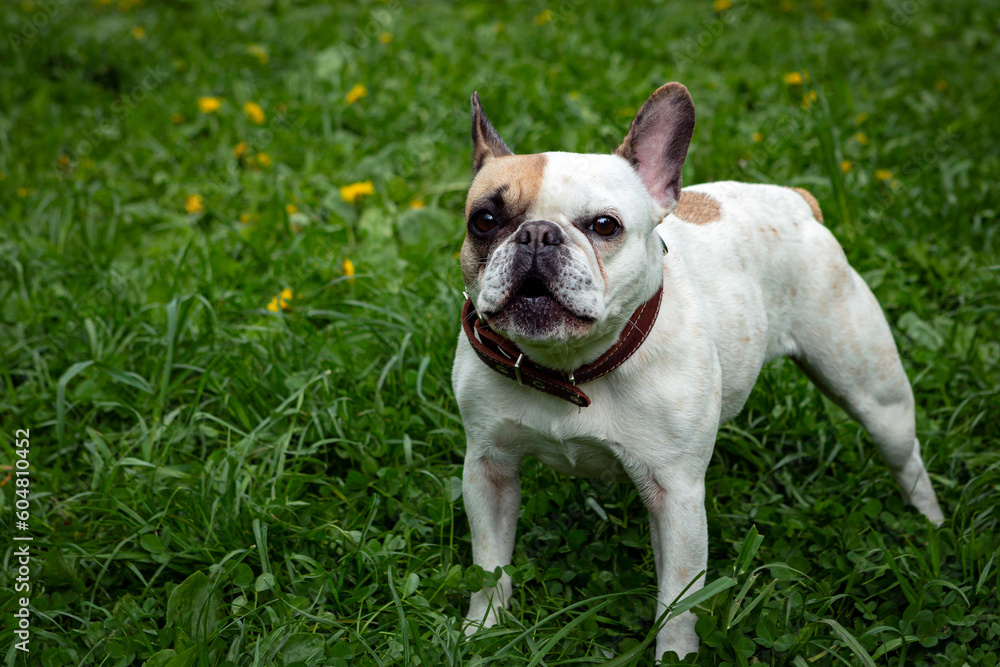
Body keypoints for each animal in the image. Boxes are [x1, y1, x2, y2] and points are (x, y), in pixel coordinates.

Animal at [454, 81, 944, 660]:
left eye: (604, 226)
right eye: (484, 220)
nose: (536, 234)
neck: (570, 368)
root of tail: (795, 201)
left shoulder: (678, 497)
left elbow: (678, 601)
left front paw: (675, 655)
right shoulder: (488, 470)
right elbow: (490, 566)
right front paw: (481, 631)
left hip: (874, 394)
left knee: (907, 458)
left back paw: (931, 527)